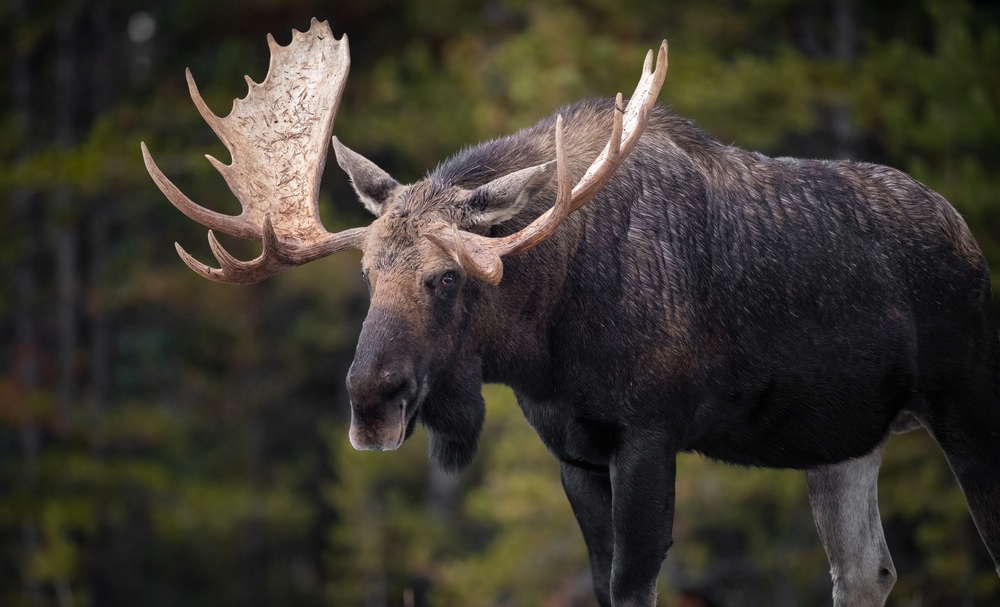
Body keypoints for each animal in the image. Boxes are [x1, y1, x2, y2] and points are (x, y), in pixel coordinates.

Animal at [142, 19, 1000, 607]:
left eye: (447, 279)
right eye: (366, 274)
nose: (370, 400)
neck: (546, 344)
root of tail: (969, 238)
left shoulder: (649, 432)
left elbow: (632, 584)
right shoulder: (574, 450)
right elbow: (600, 584)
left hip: (965, 401)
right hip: (844, 438)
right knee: (865, 570)